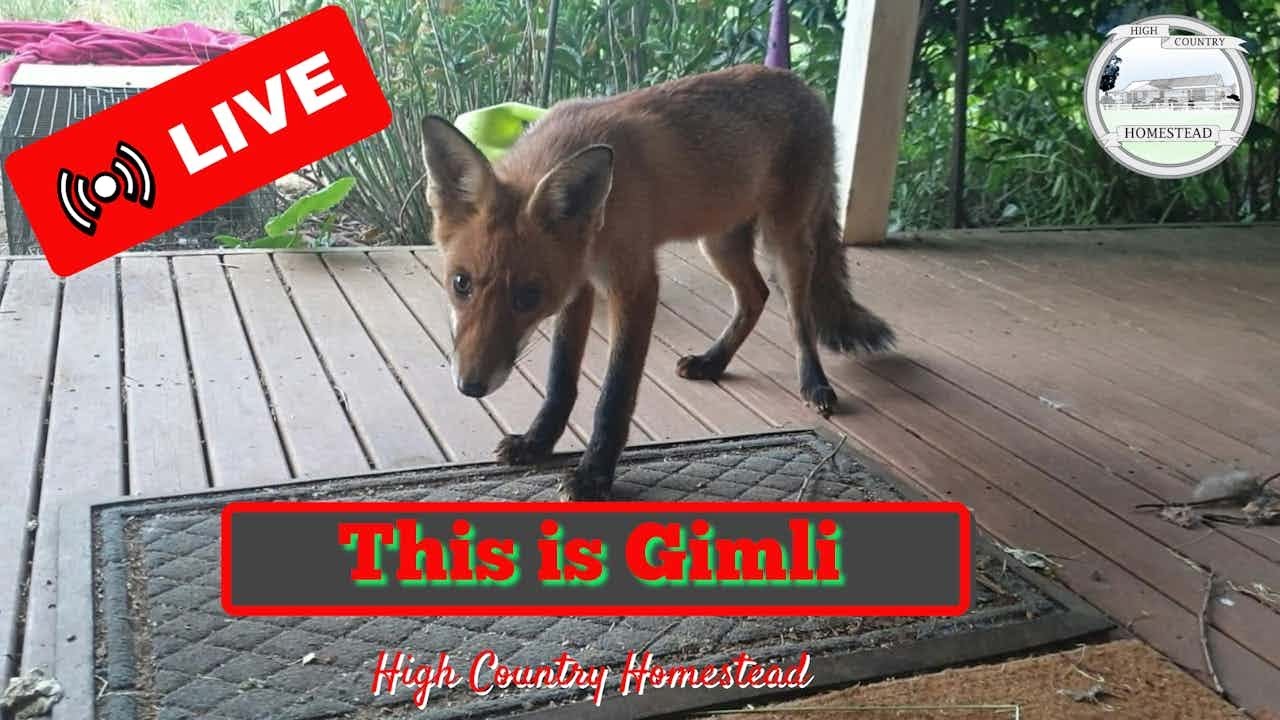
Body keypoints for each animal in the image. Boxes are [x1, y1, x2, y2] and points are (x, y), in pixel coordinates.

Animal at [420, 64, 894, 501]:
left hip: (786, 243)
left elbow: (614, 394)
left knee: (800, 319)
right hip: (719, 242)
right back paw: (714, 361)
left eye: (529, 297)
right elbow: (560, 380)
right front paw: (537, 442)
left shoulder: (634, 284)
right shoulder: (580, 286)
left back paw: (814, 383)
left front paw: (595, 475)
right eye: (460, 283)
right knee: (755, 297)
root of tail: (801, 83)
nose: (470, 386)